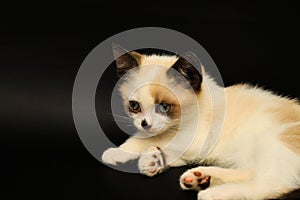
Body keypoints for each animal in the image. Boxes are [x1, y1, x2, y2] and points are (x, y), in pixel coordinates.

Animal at [102, 44, 300, 200]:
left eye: (164, 107)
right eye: (135, 106)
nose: (145, 124)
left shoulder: (194, 138)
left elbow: (148, 139)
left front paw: (127, 153)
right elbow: (153, 140)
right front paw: (151, 161)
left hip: (277, 140)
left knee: (272, 184)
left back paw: (212, 193)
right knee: (253, 172)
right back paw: (200, 179)